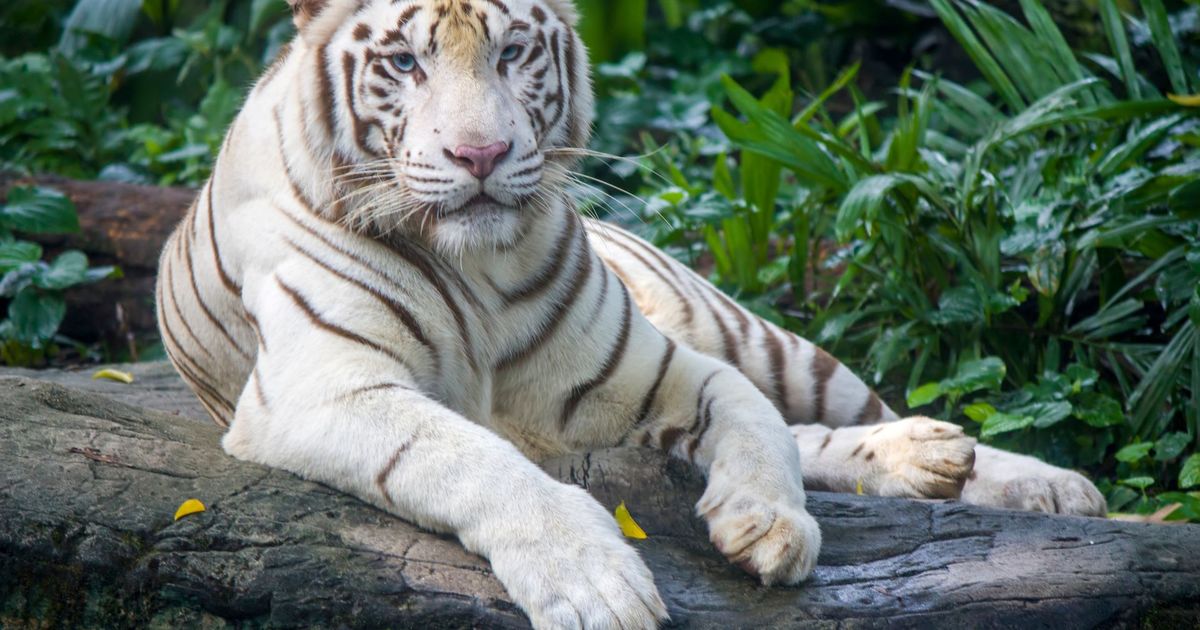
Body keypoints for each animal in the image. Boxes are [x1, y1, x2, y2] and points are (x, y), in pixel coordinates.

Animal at [154, 0, 1107, 626]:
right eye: (404, 63)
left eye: (511, 53)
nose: (480, 154)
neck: (476, 270)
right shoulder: (324, 389)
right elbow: (471, 458)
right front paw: (595, 585)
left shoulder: (661, 364)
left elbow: (755, 423)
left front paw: (769, 523)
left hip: (762, 338)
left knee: (833, 410)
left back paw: (1029, 478)